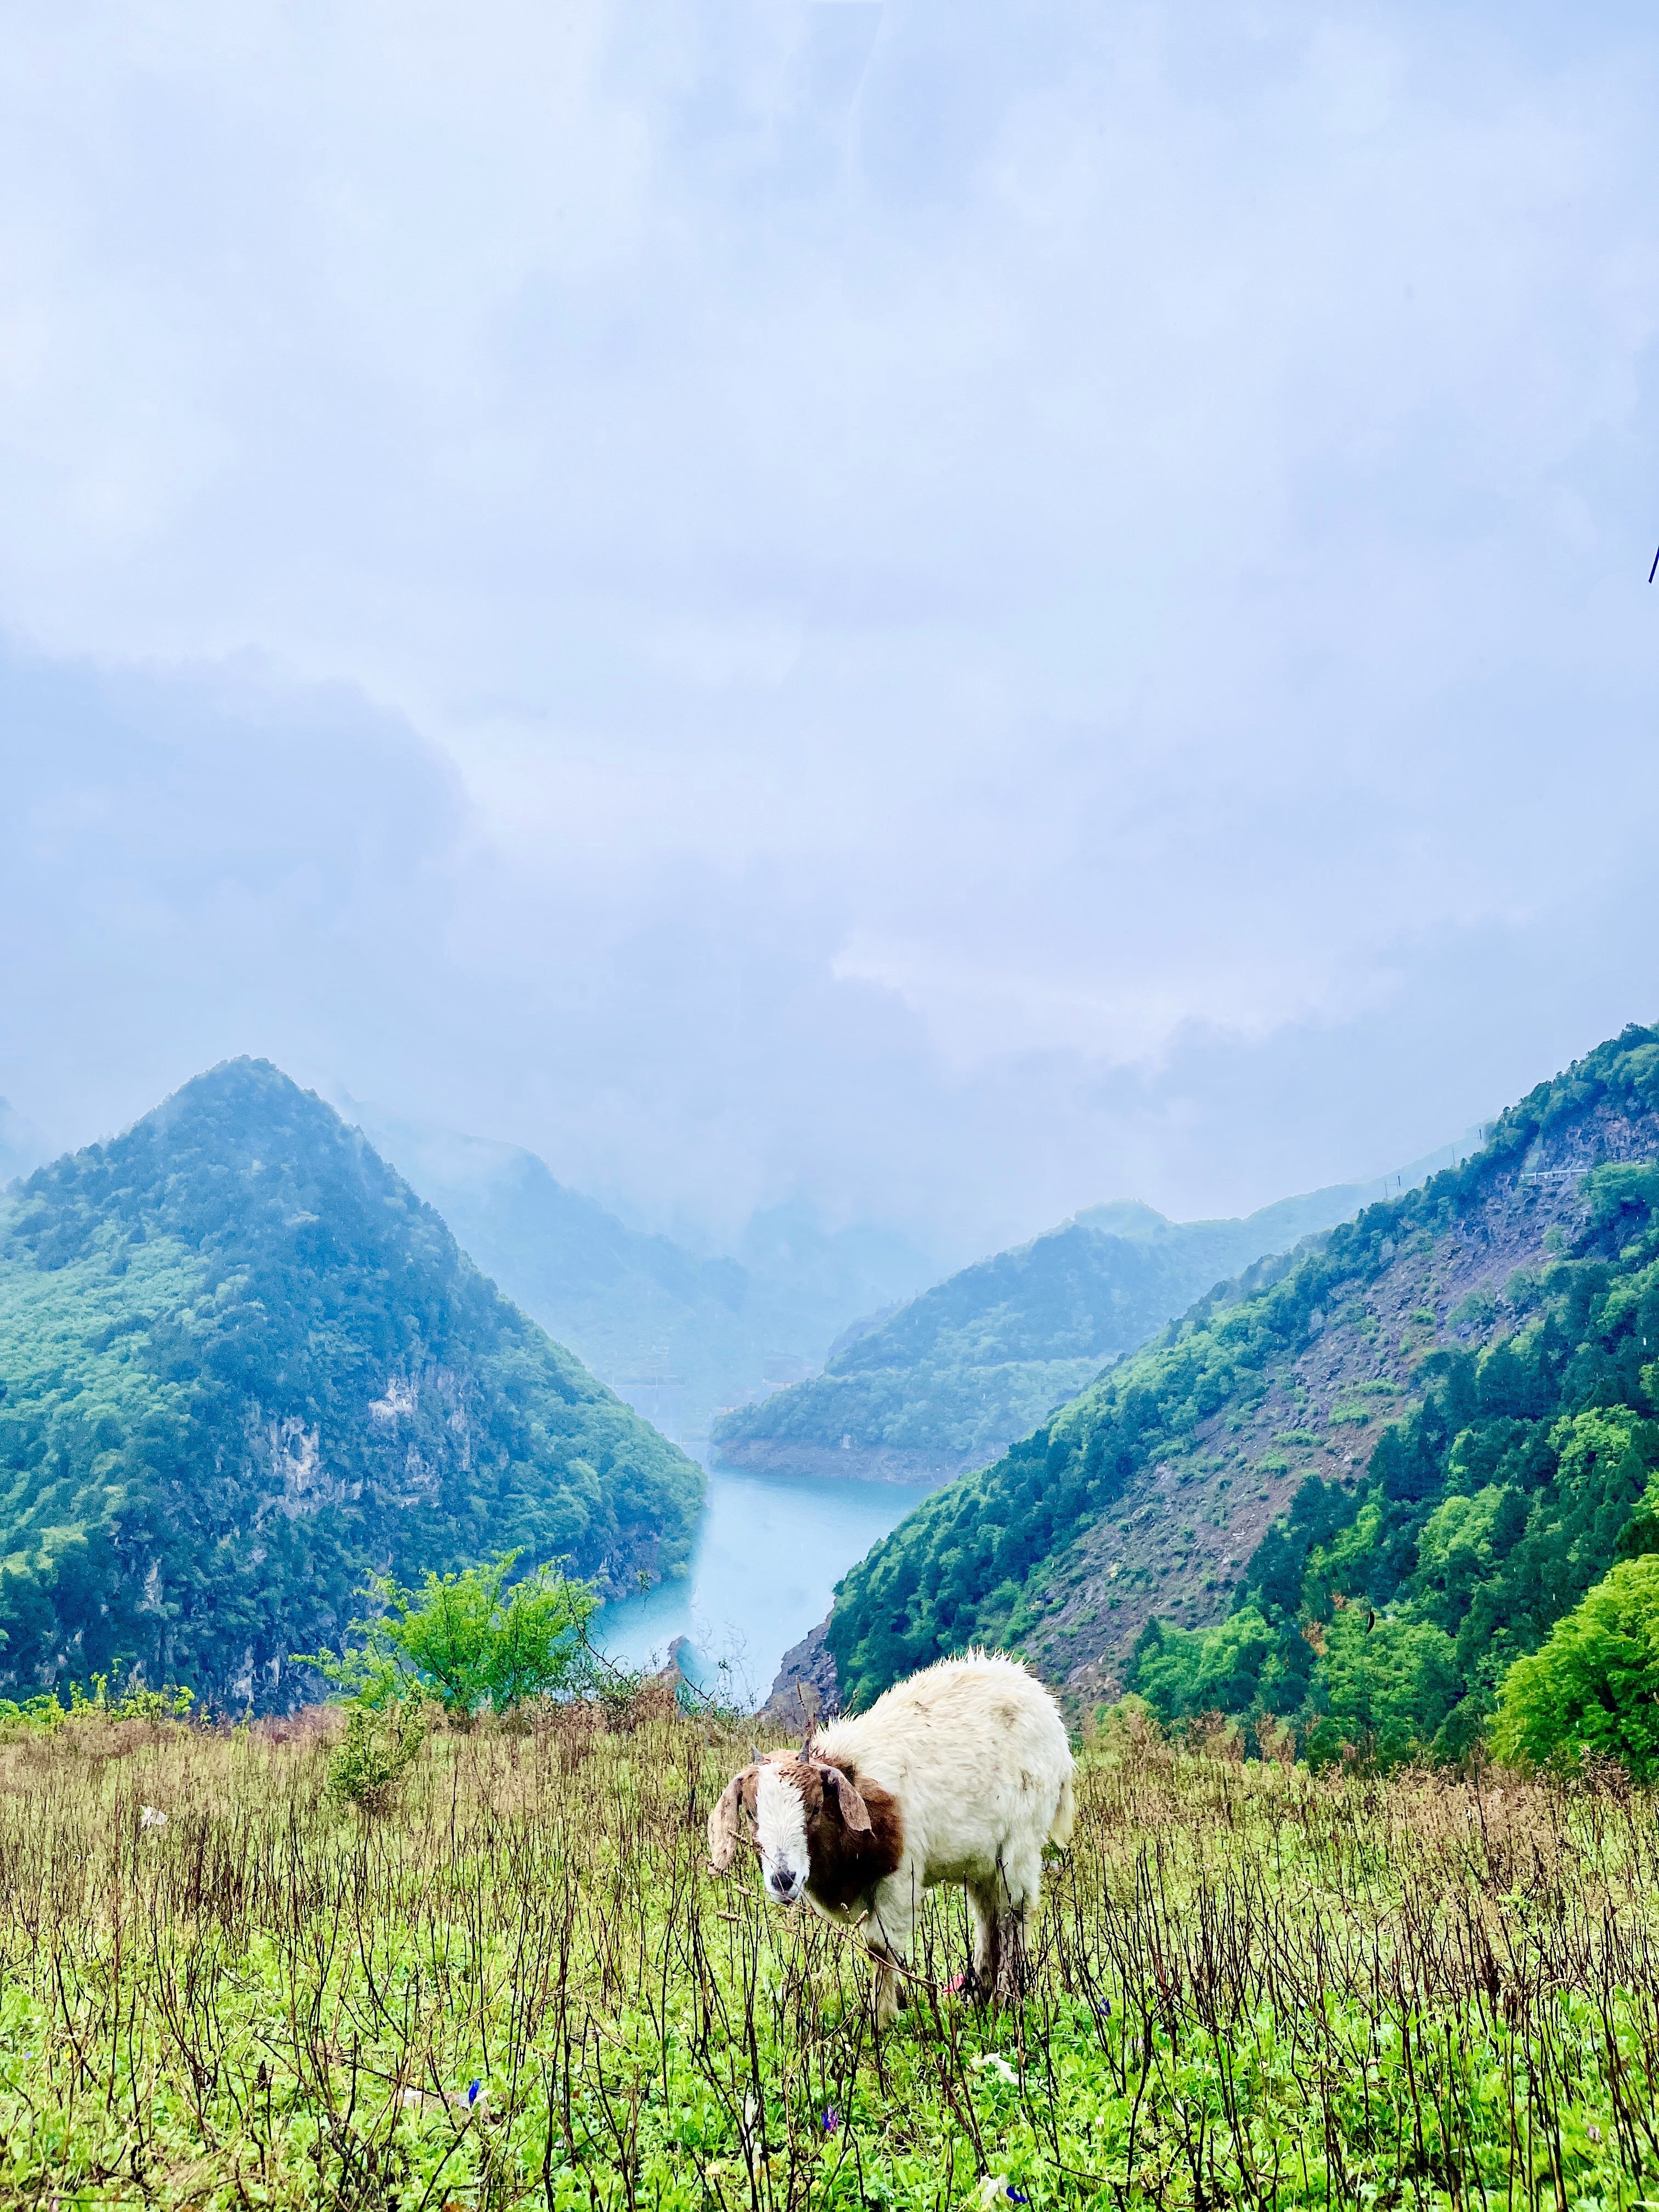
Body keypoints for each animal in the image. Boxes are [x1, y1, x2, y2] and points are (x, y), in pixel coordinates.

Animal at [703, 1645, 1079, 2026]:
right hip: (981, 1859)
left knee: (1014, 1913)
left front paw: (883, 2019)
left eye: (815, 1807)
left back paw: (1007, 2000)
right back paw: (981, 1996)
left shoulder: (899, 1877)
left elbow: (881, 1948)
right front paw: (894, 2005)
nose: (783, 1879)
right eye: (752, 1814)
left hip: (1020, 1842)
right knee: (988, 1915)